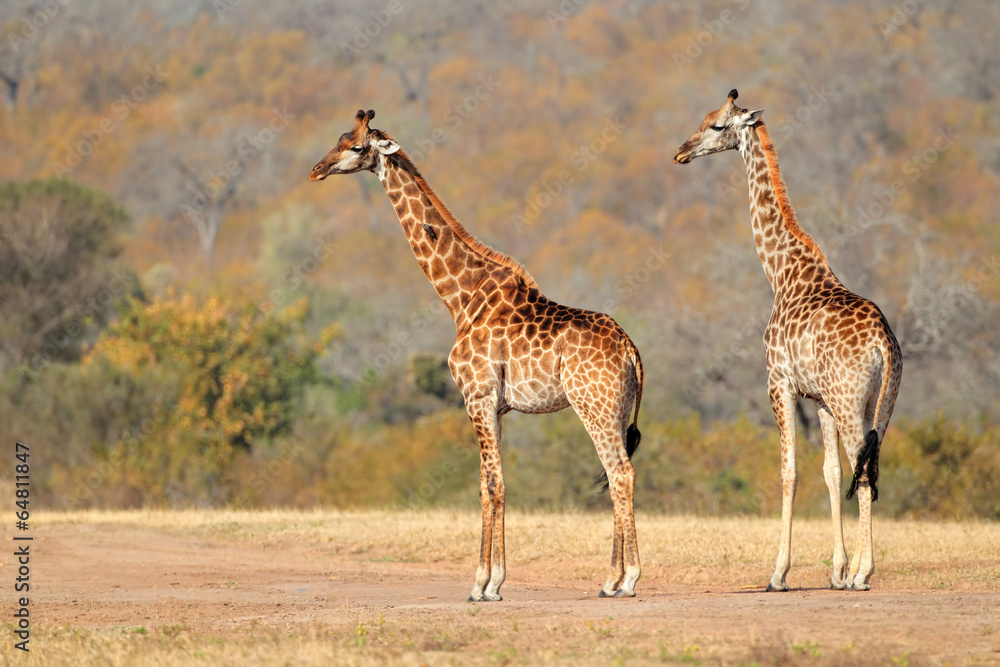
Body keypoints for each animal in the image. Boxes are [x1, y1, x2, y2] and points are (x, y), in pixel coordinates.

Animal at [310, 110, 644, 601]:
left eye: (355, 147)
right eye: (338, 138)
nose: (317, 170)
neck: (459, 297)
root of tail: (631, 350)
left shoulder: (477, 397)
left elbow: (491, 484)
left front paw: (483, 585)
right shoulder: (497, 407)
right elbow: (491, 484)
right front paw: (493, 581)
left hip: (593, 406)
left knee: (619, 473)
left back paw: (627, 579)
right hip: (616, 408)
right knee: (618, 472)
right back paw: (611, 580)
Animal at [674, 90, 902, 592]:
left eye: (717, 125)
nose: (681, 151)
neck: (781, 273)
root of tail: (882, 342)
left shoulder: (778, 383)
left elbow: (790, 471)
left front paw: (779, 572)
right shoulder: (820, 398)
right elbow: (830, 472)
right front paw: (835, 570)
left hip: (851, 400)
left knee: (863, 468)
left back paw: (864, 574)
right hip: (877, 400)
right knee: (869, 464)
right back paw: (856, 571)